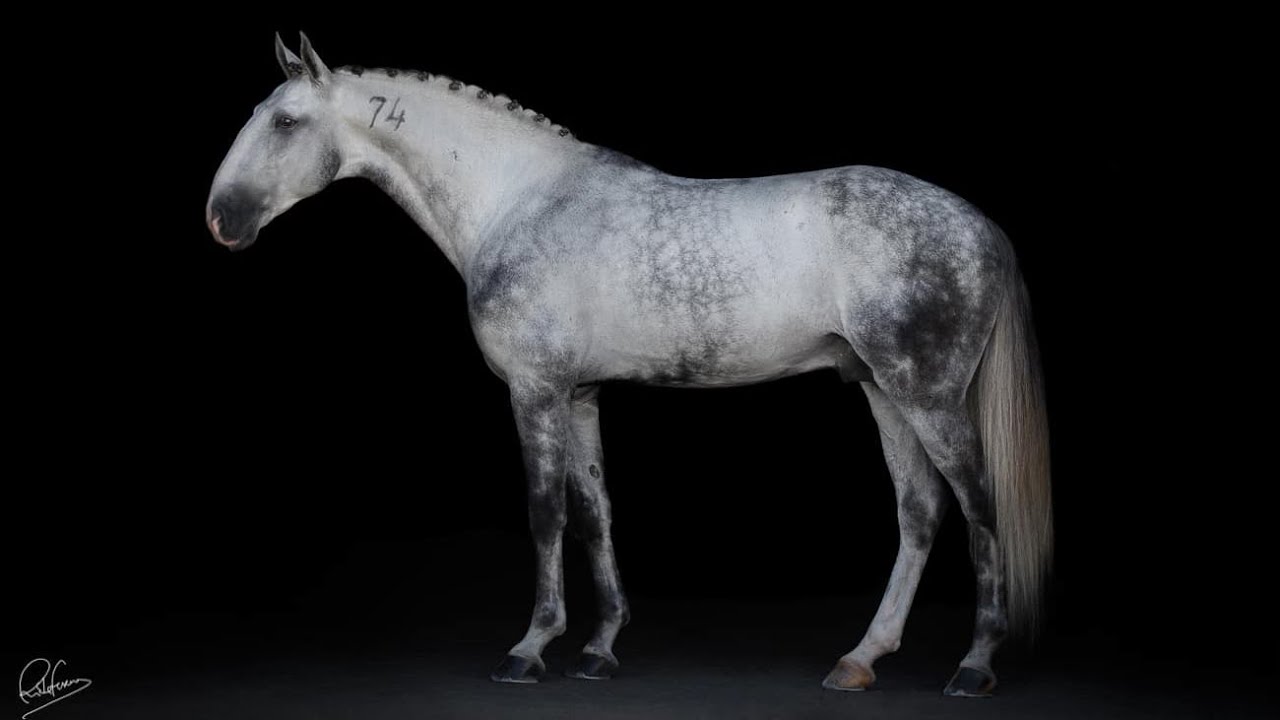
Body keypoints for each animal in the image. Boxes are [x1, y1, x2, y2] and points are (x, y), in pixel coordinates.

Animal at [206, 33, 1053, 698]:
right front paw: (600, 649)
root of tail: (982, 226)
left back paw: (974, 667)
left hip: (928, 394)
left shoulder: (536, 391)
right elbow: (594, 513)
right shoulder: (579, 394)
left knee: (978, 505)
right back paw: (860, 659)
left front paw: (530, 649)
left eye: (285, 121)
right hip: (882, 389)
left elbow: (545, 512)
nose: (221, 219)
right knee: (920, 511)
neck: (518, 200)